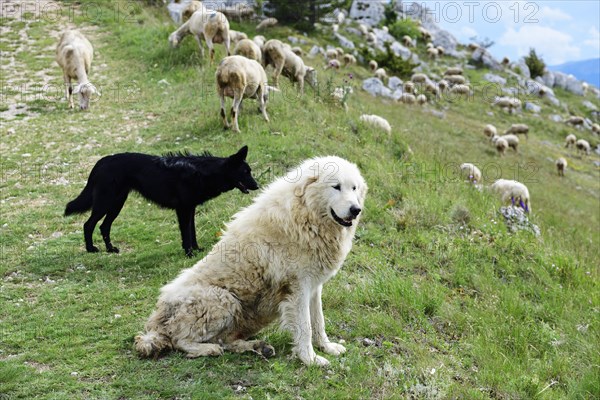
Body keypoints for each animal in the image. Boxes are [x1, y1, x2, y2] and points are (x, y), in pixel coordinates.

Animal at [65, 146, 258, 256]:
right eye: (245, 172)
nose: (257, 185)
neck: (204, 172)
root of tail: (102, 161)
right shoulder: (183, 210)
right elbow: (186, 233)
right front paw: (189, 253)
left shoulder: (190, 209)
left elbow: (192, 232)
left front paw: (196, 249)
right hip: (105, 203)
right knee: (88, 224)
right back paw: (91, 249)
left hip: (117, 204)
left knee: (104, 226)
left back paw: (110, 249)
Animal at [136, 156, 368, 366]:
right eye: (336, 187)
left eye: (354, 188)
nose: (356, 210)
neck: (305, 215)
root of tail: (155, 322)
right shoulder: (298, 288)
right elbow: (306, 327)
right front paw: (310, 359)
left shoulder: (313, 286)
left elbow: (318, 321)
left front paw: (327, 347)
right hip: (223, 298)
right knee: (179, 340)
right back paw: (208, 349)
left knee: (226, 341)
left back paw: (258, 347)